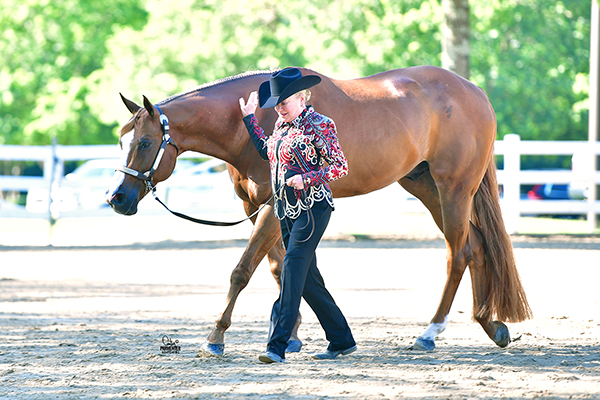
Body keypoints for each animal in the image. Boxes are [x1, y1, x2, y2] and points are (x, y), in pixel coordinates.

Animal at [106, 67, 528, 354]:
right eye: (122, 142)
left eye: (145, 143)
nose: (117, 199)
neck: (247, 125)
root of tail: (474, 92)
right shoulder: (259, 207)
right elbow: (282, 268)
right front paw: (290, 336)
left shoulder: (273, 207)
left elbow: (244, 271)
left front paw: (216, 337)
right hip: (424, 186)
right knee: (476, 247)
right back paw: (492, 326)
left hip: (454, 188)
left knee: (458, 254)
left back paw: (429, 333)